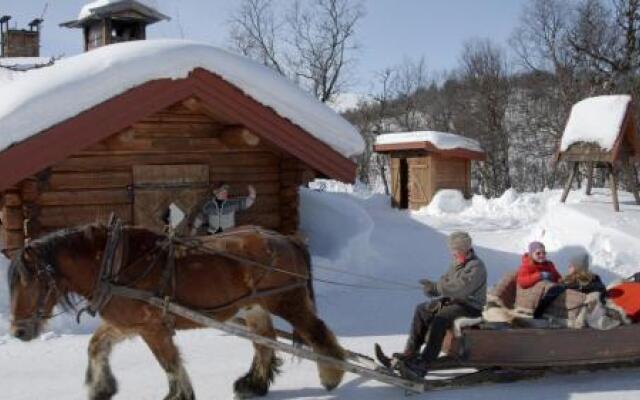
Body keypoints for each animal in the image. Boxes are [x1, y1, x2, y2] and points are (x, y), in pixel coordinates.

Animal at [6, 223, 344, 398]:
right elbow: (96, 345)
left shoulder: (152, 328)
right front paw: (100, 388)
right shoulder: (128, 323)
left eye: (30, 282)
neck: (114, 264)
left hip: (286, 300)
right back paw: (253, 385)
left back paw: (331, 374)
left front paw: (178, 395)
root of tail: (287, 238)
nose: (18, 332)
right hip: (254, 307)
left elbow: (168, 362)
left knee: (317, 333)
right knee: (265, 342)